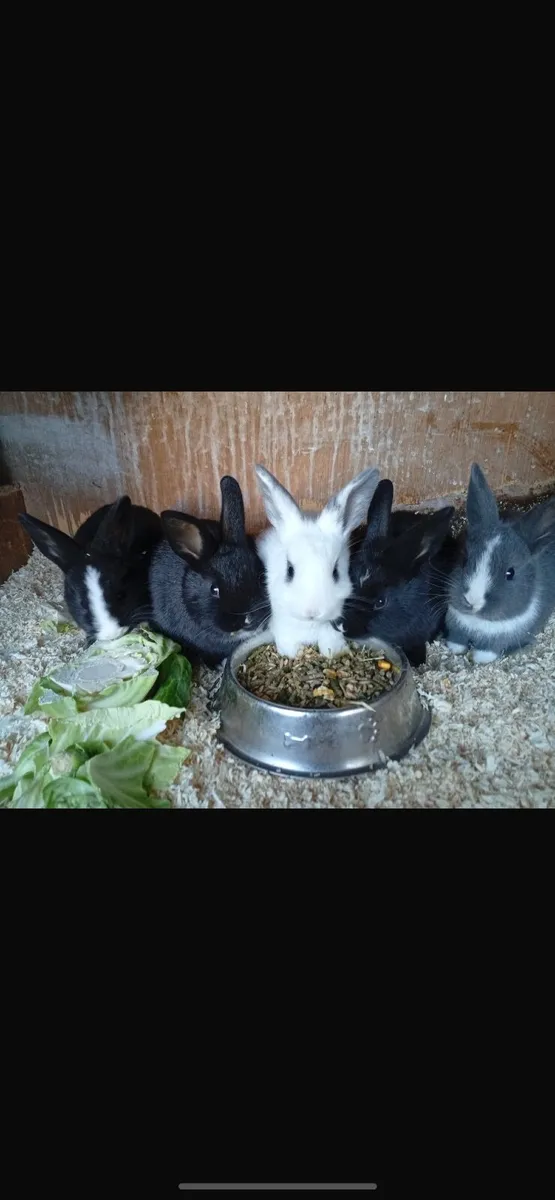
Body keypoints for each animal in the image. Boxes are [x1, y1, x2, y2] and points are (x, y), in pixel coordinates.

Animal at [255, 464, 380, 658]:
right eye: (289, 570)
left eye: (335, 572)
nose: (312, 612)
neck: (310, 625)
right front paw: (294, 655)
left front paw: (335, 652)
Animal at [445, 463, 555, 664]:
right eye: (464, 560)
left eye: (510, 573)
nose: (472, 600)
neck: (478, 621)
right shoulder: (457, 627)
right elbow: (457, 641)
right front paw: (456, 650)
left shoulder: (497, 641)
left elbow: (488, 651)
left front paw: (477, 659)